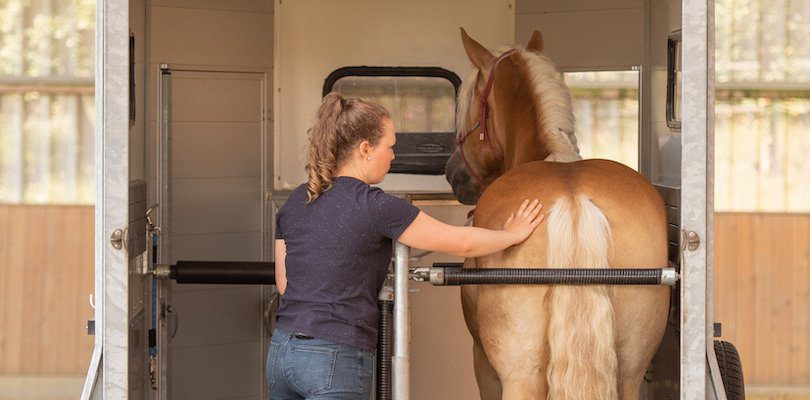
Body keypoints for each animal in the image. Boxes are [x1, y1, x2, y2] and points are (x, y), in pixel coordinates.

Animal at [442, 28, 668, 400]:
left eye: (468, 106)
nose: (453, 174)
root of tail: (573, 199)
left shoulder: (484, 366)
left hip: (519, 376)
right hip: (631, 373)